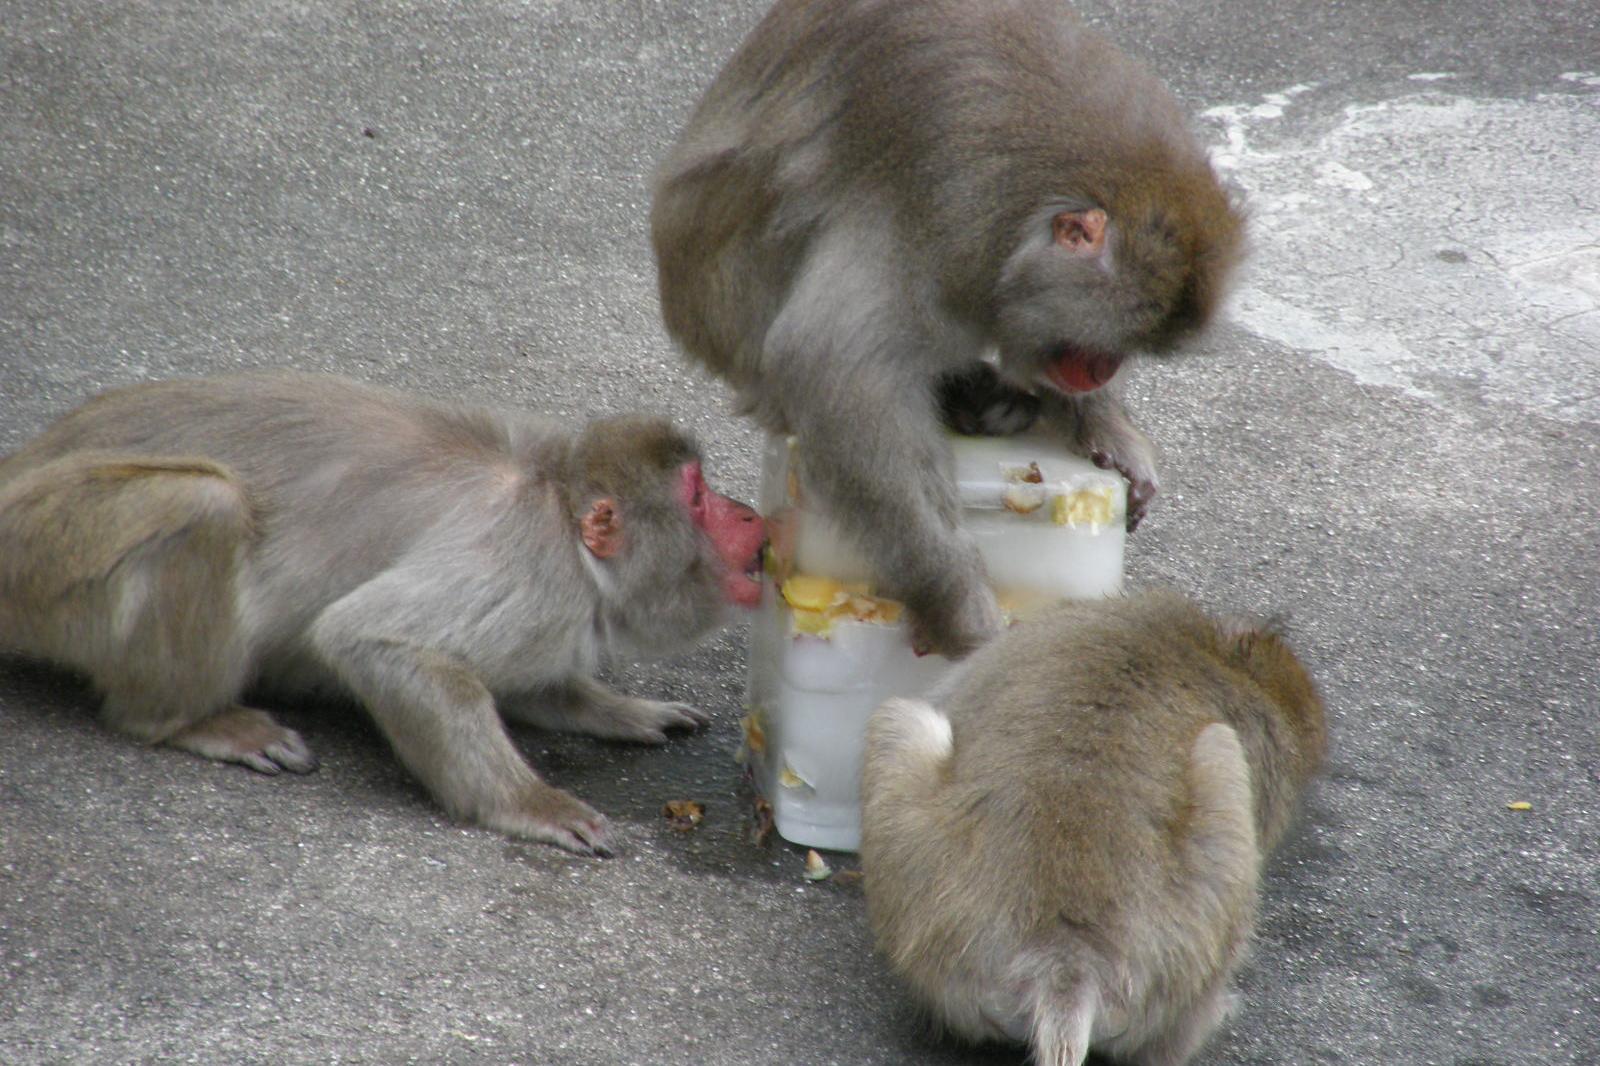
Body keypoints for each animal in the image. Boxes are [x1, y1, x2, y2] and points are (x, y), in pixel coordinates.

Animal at [0, 369, 768, 851]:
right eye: (699, 496)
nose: (749, 514)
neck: (560, 511)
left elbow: (522, 679)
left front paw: (615, 710)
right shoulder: (529, 569)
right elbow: (370, 637)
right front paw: (530, 805)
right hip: (41, 553)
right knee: (200, 502)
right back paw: (186, 718)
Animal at [652, 0, 1248, 656]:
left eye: (1124, 350)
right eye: (1101, 345)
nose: (1100, 373)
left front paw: (1111, 434)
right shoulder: (946, 207)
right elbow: (835, 367)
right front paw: (957, 599)